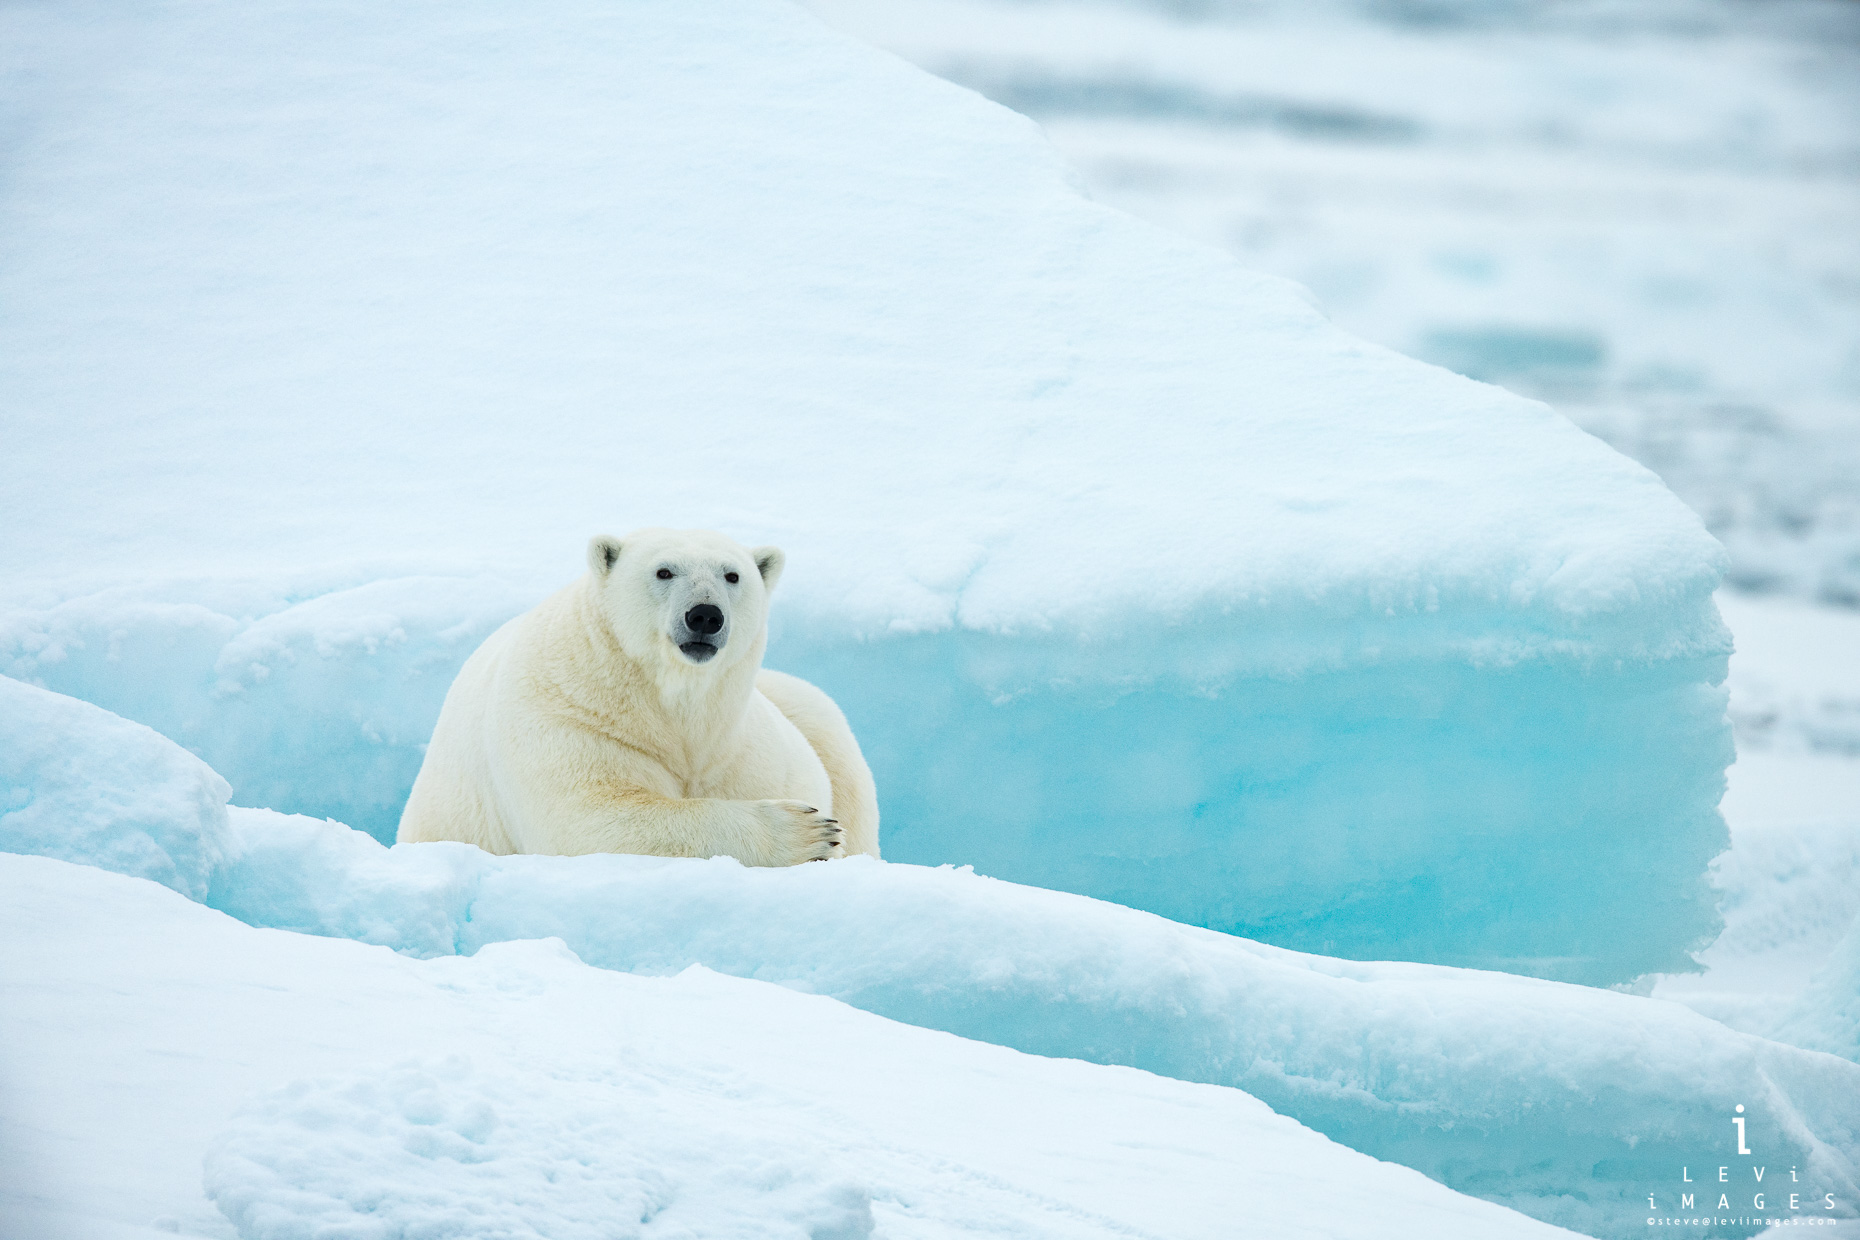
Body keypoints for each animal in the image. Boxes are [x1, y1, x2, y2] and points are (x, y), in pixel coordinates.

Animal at [390, 527, 877, 870]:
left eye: (732, 575)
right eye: (663, 571)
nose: (705, 615)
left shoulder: (743, 747)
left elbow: (808, 781)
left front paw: (826, 831)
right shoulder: (567, 716)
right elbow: (588, 818)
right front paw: (807, 831)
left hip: (805, 703)